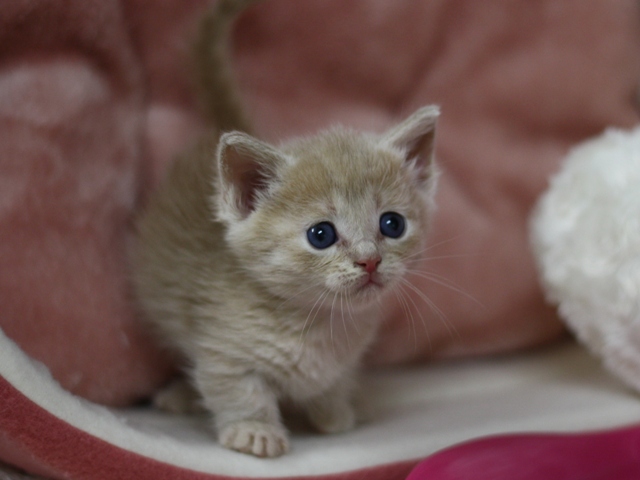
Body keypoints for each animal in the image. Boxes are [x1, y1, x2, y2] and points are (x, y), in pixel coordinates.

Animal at [131, 0, 440, 460]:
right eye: (321, 235)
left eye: (392, 224)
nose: (370, 260)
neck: (318, 322)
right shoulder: (223, 353)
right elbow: (237, 390)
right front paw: (254, 431)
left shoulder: (342, 362)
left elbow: (333, 385)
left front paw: (336, 412)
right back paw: (181, 396)